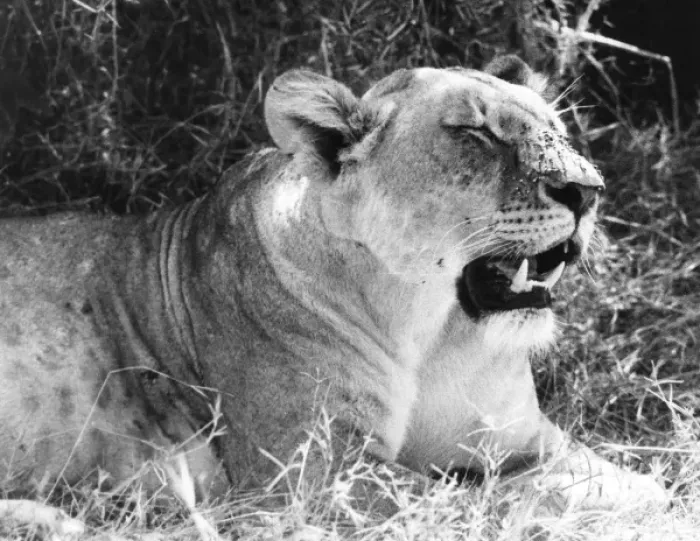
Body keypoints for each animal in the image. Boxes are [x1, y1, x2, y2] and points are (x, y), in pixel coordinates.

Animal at [0, 56, 666, 531]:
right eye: (475, 134)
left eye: (557, 129)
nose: (588, 189)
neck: (434, 334)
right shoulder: (313, 470)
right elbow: (476, 509)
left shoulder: (529, 443)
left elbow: (637, 486)